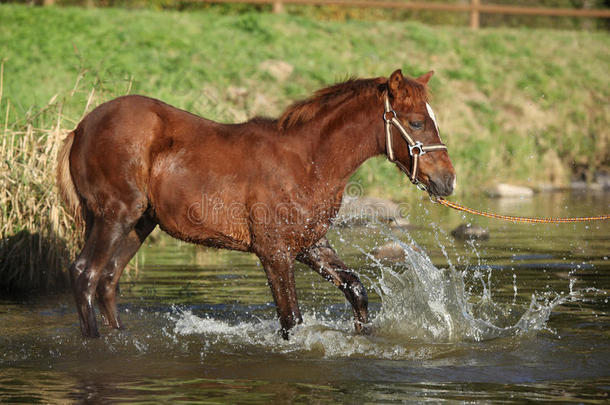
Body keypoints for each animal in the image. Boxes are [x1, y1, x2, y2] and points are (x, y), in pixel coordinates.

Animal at [57, 68, 454, 338]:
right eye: (416, 123)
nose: (447, 180)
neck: (307, 161)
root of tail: (81, 128)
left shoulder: (309, 245)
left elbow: (356, 290)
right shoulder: (274, 252)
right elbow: (291, 320)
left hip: (138, 223)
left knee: (108, 280)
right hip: (114, 216)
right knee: (85, 274)